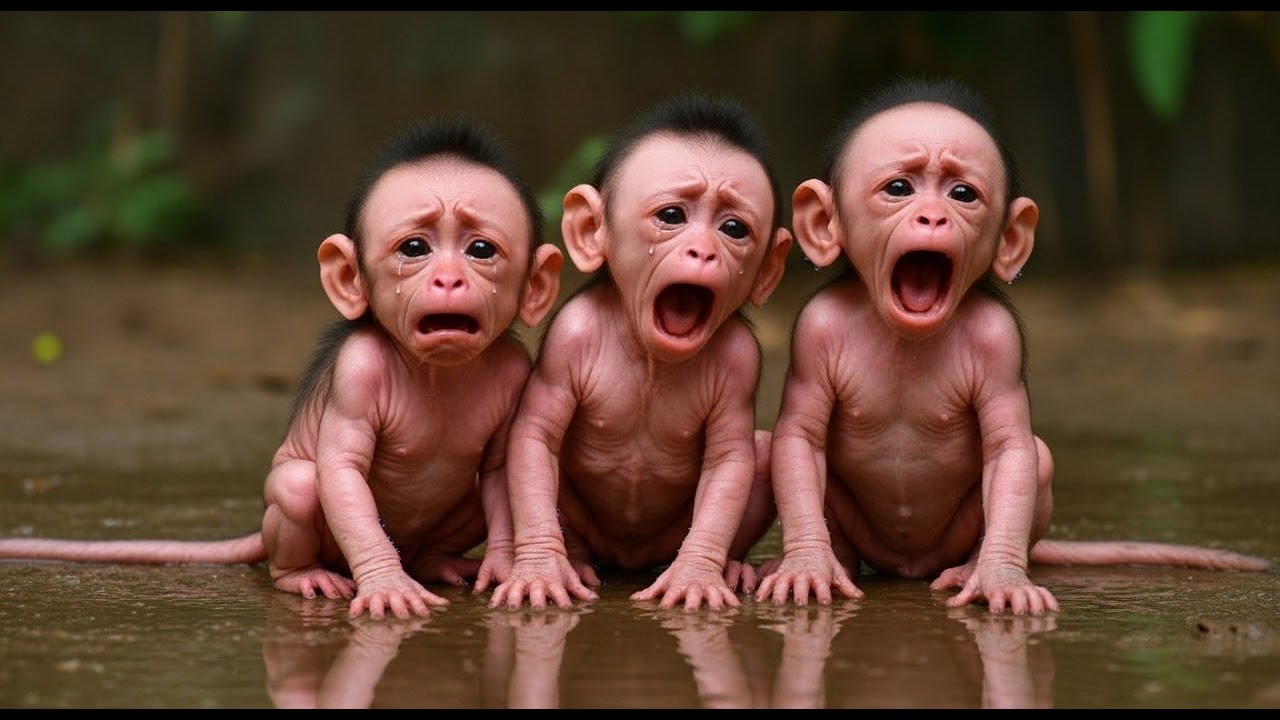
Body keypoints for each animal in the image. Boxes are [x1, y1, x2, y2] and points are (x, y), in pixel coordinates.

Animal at [0, 119, 565, 620]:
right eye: (414, 248)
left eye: (481, 250)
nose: (449, 280)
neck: (436, 371)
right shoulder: (358, 372)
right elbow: (341, 472)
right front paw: (386, 585)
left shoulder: (514, 370)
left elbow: (501, 471)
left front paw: (506, 566)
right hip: (296, 514)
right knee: (298, 489)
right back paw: (302, 575)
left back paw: (438, 562)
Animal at [487, 94, 793, 612]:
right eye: (671, 217)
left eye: (733, 228)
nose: (704, 252)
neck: (651, 355)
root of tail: (627, 560)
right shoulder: (569, 336)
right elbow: (535, 437)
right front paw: (540, 570)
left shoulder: (742, 359)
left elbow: (730, 457)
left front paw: (696, 574)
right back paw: (576, 561)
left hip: (665, 542)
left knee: (761, 451)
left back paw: (729, 565)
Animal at [755, 78, 1269, 615]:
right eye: (898, 189)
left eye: (963, 194)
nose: (934, 218)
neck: (904, 334)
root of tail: (910, 566)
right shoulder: (814, 331)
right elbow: (800, 440)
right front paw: (806, 565)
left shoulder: (997, 340)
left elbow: (1011, 449)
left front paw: (1001, 576)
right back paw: (838, 560)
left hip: (955, 539)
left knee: (1034, 461)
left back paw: (971, 567)